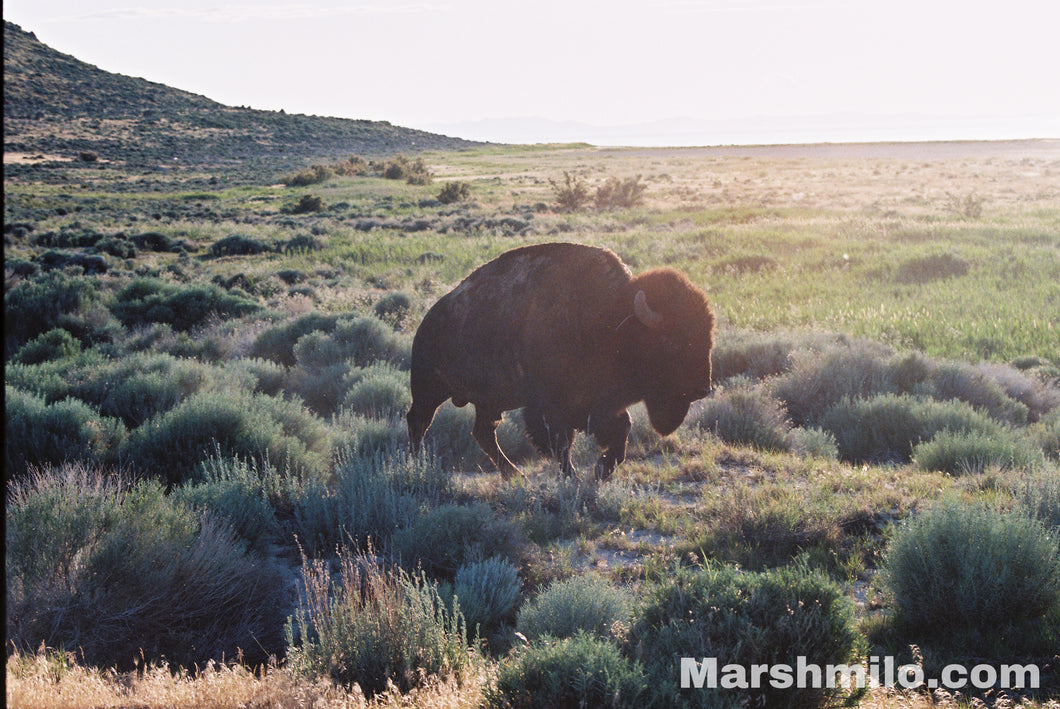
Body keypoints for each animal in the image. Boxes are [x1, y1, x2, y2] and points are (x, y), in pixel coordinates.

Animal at [404, 240, 712, 479]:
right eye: (673, 342)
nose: (703, 388)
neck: (612, 317)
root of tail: (427, 321)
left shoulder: (600, 405)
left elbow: (622, 430)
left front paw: (601, 471)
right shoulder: (551, 407)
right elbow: (561, 443)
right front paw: (573, 476)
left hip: (488, 401)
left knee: (483, 432)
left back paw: (514, 474)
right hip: (429, 390)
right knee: (418, 421)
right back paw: (417, 466)